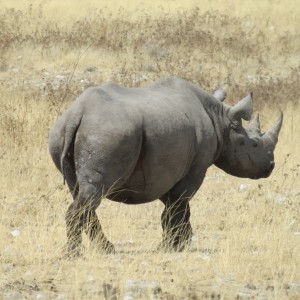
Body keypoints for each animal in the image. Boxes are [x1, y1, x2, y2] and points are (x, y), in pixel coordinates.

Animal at [49, 77, 284, 255]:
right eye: (255, 144)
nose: (271, 166)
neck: (221, 120)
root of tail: (76, 114)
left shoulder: (167, 171)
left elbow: (176, 205)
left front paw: (182, 241)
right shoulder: (196, 168)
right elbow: (178, 206)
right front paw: (173, 246)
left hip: (62, 134)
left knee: (82, 193)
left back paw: (106, 249)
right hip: (106, 133)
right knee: (93, 193)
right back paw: (74, 253)